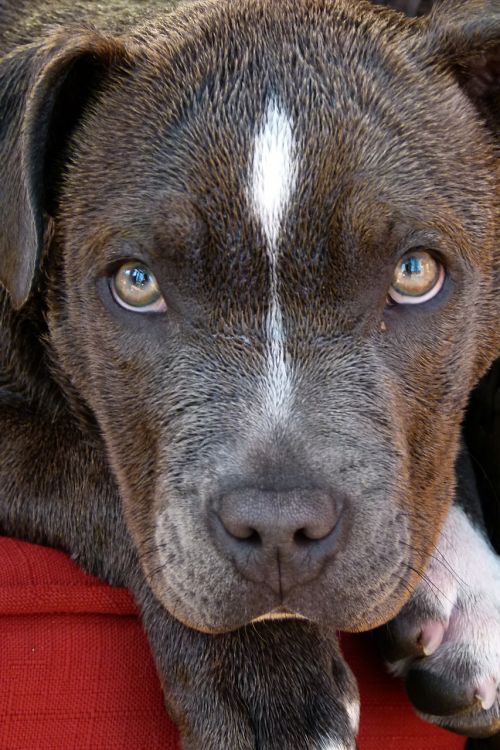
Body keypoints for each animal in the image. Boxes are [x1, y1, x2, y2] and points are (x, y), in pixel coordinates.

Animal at [0, 0, 498, 748]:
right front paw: (270, 683)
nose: (278, 528)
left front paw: (468, 587)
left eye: (415, 272)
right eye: (137, 283)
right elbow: (93, 466)